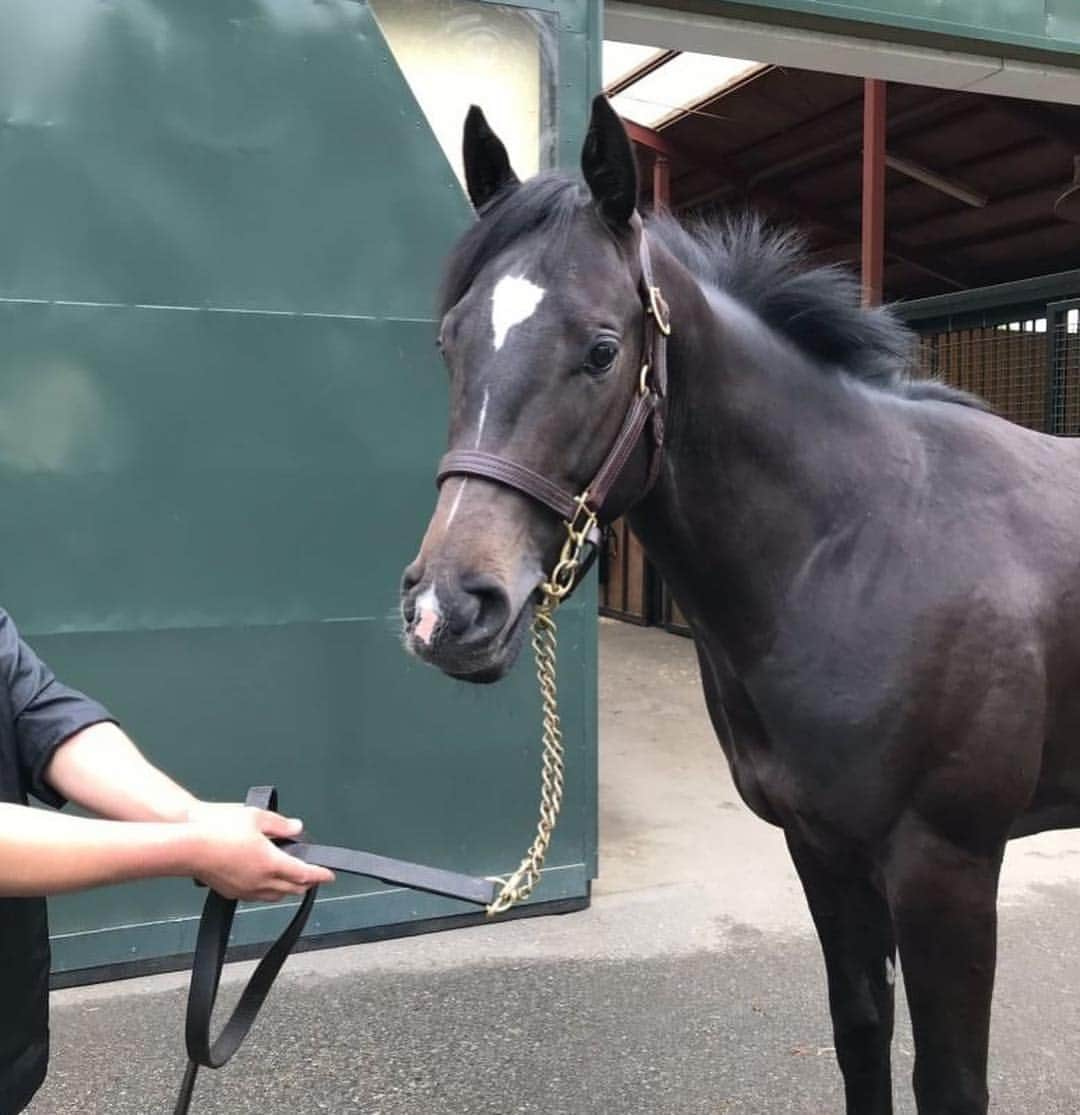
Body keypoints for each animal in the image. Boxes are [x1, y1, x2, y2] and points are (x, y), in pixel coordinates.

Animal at [399, 98, 1080, 1115]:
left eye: (602, 350)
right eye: (451, 340)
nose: (448, 607)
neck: (863, 544)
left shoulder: (947, 866)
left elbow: (950, 1081)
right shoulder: (822, 849)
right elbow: (861, 1034)